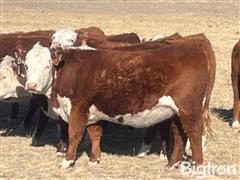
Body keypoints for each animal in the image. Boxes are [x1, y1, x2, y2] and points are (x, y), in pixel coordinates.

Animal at [24, 33, 216, 169]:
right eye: (26, 65)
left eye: (47, 65)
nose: (31, 85)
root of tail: (194, 46)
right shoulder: (92, 110)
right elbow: (95, 133)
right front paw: (94, 159)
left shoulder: (78, 109)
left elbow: (74, 135)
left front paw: (67, 161)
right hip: (176, 112)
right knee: (179, 135)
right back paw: (171, 164)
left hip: (189, 110)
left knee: (194, 134)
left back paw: (197, 167)